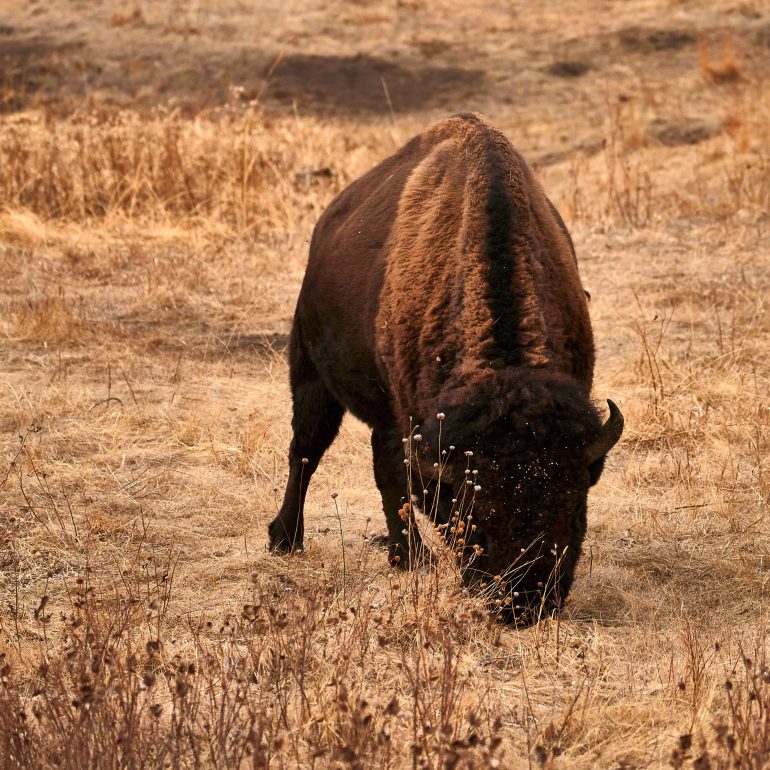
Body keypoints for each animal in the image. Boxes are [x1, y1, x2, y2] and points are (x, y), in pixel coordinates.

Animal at [268, 113, 623, 622]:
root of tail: (328, 221)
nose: (523, 602)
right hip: (312, 378)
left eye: (574, 504)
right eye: (479, 511)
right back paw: (292, 539)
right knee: (306, 452)